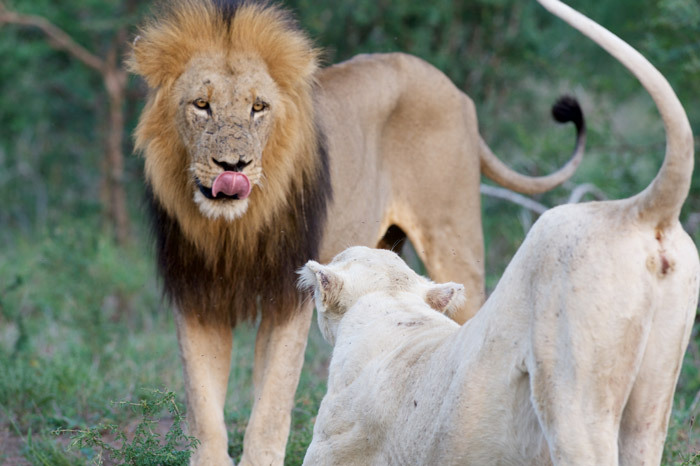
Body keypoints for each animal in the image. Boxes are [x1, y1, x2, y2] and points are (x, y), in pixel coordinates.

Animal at [130, 1, 584, 464]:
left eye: (259, 107)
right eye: (201, 105)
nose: (233, 167)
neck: (234, 228)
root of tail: (446, 83)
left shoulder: (286, 299)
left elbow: (271, 407)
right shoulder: (195, 296)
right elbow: (204, 409)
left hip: (453, 240)